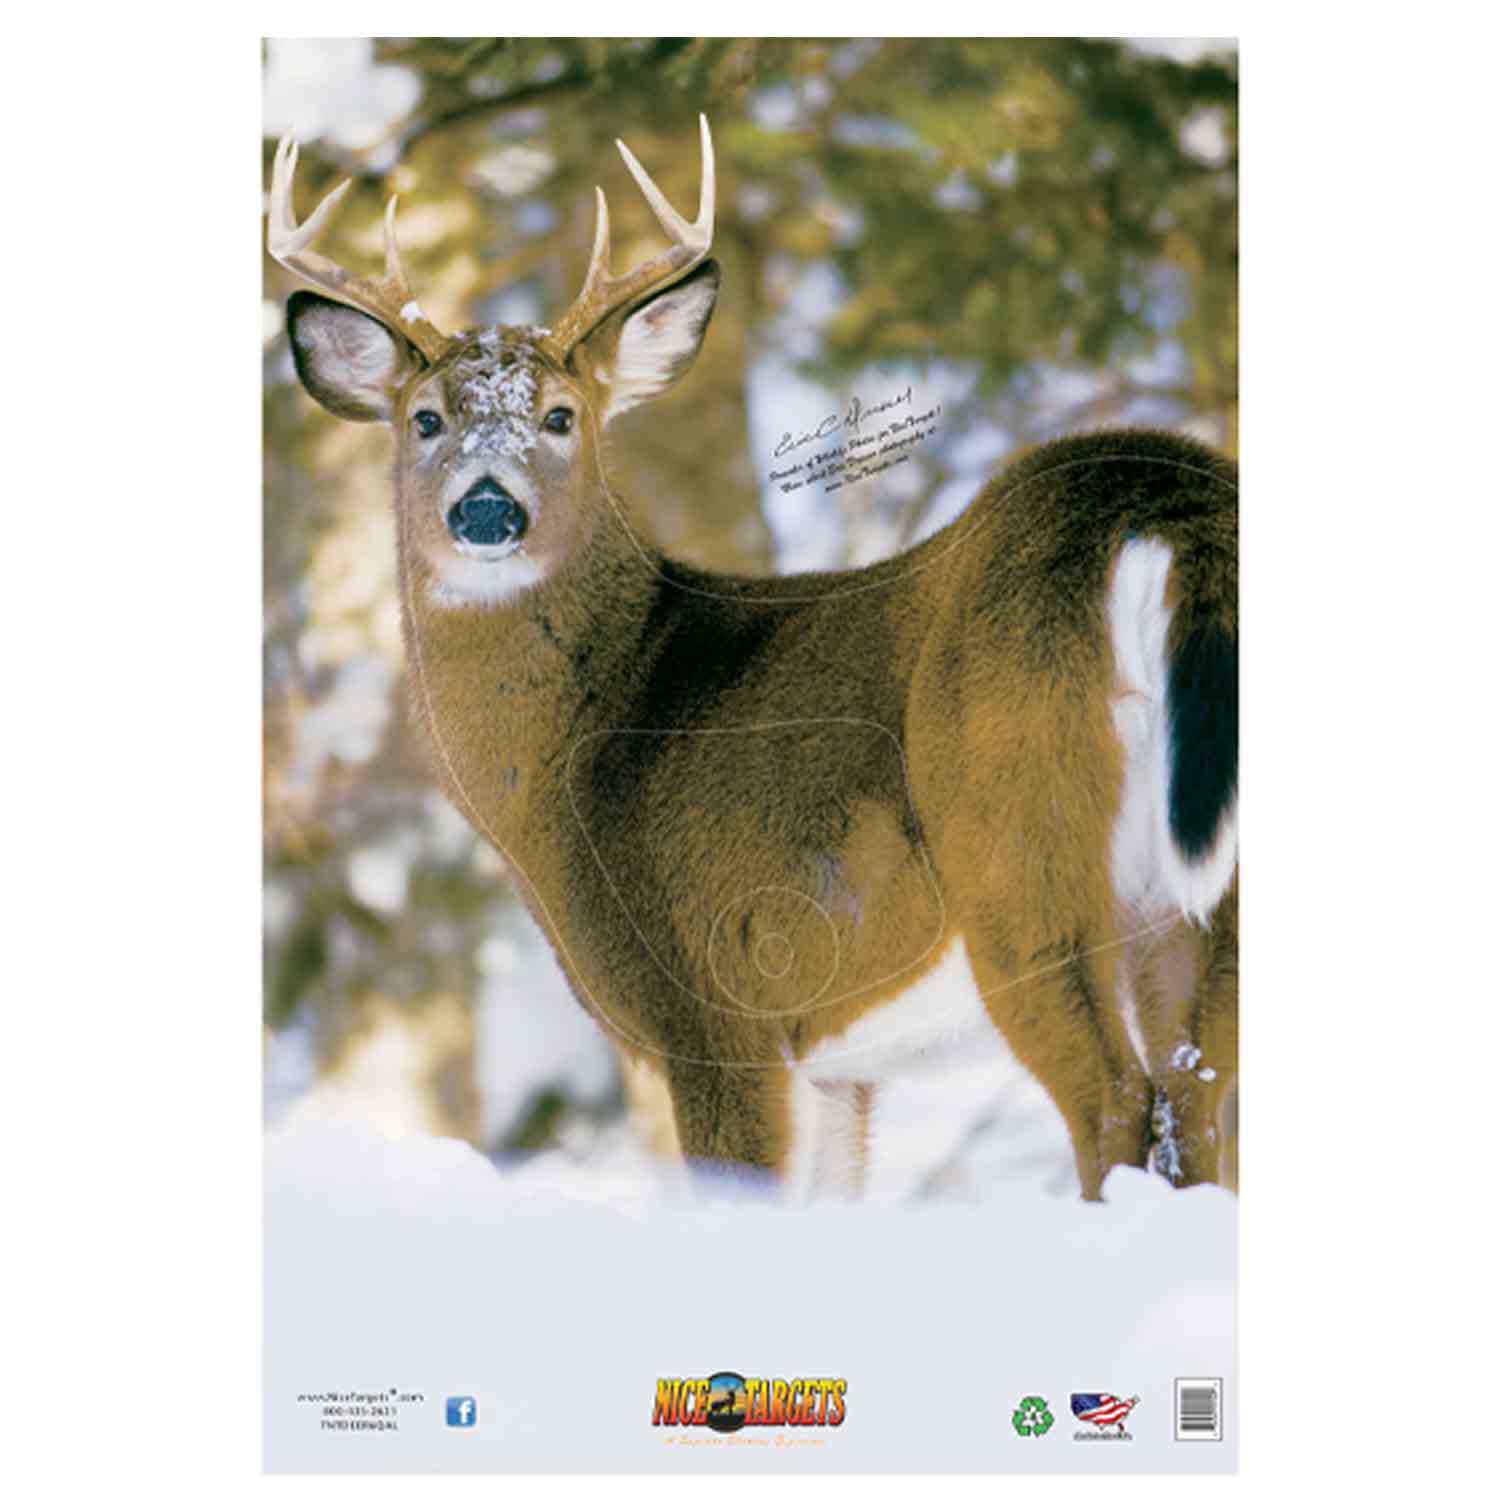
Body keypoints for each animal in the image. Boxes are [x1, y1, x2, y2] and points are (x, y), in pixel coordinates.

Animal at [267, 117, 1238, 1202]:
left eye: (563, 416)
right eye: (424, 418)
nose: (485, 508)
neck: (585, 748)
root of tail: (1153, 501)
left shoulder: (712, 1002)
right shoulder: (838, 1068)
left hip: (1018, 836)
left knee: (1115, 1105)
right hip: (1202, 904)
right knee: (1195, 1110)